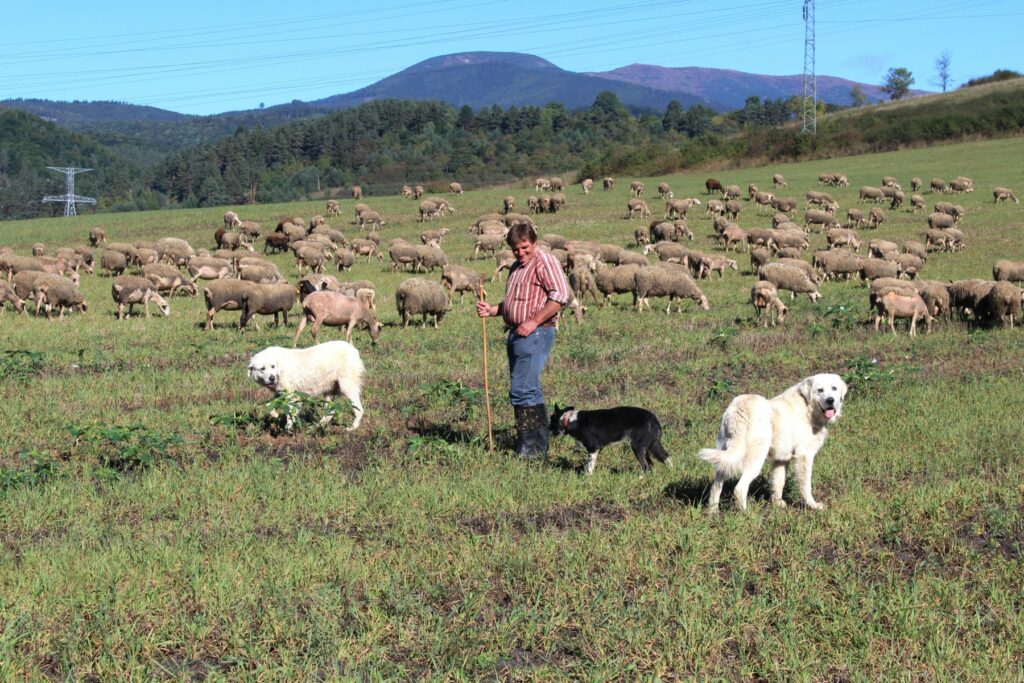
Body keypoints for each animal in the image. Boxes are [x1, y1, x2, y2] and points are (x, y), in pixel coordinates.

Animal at [696, 374, 847, 511]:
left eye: (834, 388)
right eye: (820, 390)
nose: (830, 400)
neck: (809, 408)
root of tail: (740, 408)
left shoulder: (781, 459)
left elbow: (778, 482)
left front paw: (777, 504)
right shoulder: (804, 456)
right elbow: (806, 485)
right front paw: (813, 505)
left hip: (725, 457)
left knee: (716, 486)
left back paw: (713, 512)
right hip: (755, 460)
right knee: (740, 488)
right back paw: (746, 514)